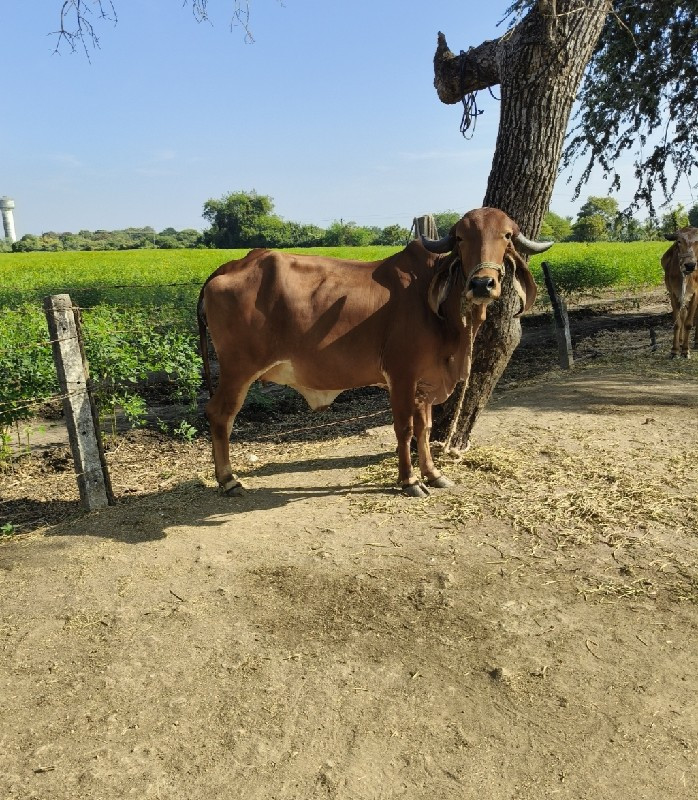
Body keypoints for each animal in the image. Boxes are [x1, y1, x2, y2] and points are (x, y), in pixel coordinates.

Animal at [196, 206, 548, 494]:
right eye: (460, 237)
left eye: (506, 236)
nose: (482, 284)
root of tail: (234, 264)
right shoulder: (401, 375)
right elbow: (405, 429)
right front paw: (409, 480)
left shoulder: (425, 381)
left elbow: (425, 430)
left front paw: (433, 474)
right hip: (238, 369)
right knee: (220, 415)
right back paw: (228, 479)